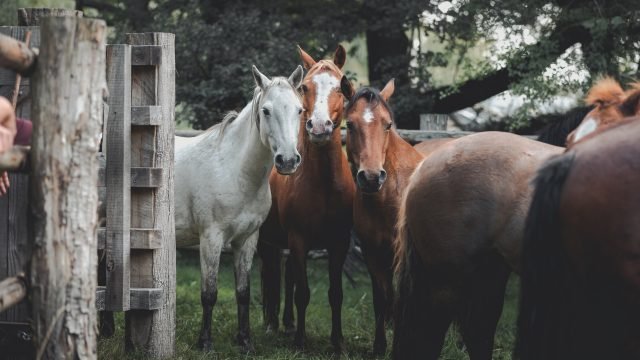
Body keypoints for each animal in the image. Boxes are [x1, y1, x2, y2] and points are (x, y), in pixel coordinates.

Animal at [175, 64, 304, 352]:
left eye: (300, 110)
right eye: (266, 111)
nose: (288, 161)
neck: (233, 170)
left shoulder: (246, 240)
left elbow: (243, 293)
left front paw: (245, 342)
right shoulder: (210, 239)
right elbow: (209, 293)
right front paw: (205, 343)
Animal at [258, 45, 356, 352]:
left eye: (341, 86)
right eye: (304, 87)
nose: (319, 127)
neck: (322, 183)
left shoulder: (339, 242)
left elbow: (335, 293)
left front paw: (338, 342)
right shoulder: (298, 238)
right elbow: (302, 292)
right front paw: (300, 342)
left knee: (286, 273)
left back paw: (288, 323)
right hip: (265, 241)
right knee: (270, 274)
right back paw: (271, 323)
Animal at [342, 79, 428, 354]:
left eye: (387, 125)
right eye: (350, 124)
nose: (371, 177)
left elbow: (401, 301)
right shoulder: (372, 252)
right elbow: (381, 299)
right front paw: (380, 346)